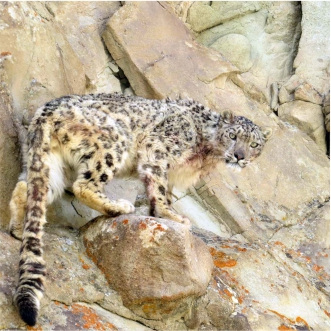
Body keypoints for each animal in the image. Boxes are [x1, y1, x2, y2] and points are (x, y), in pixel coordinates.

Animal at [8, 92, 272, 326]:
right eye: (233, 135)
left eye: (254, 144)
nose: (239, 156)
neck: (206, 153)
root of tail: (47, 109)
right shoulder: (160, 148)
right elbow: (159, 186)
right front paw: (172, 215)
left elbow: (162, 190)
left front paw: (160, 212)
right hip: (113, 141)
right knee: (84, 185)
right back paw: (118, 207)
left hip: (52, 163)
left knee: (28, 189)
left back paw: (18, 229)